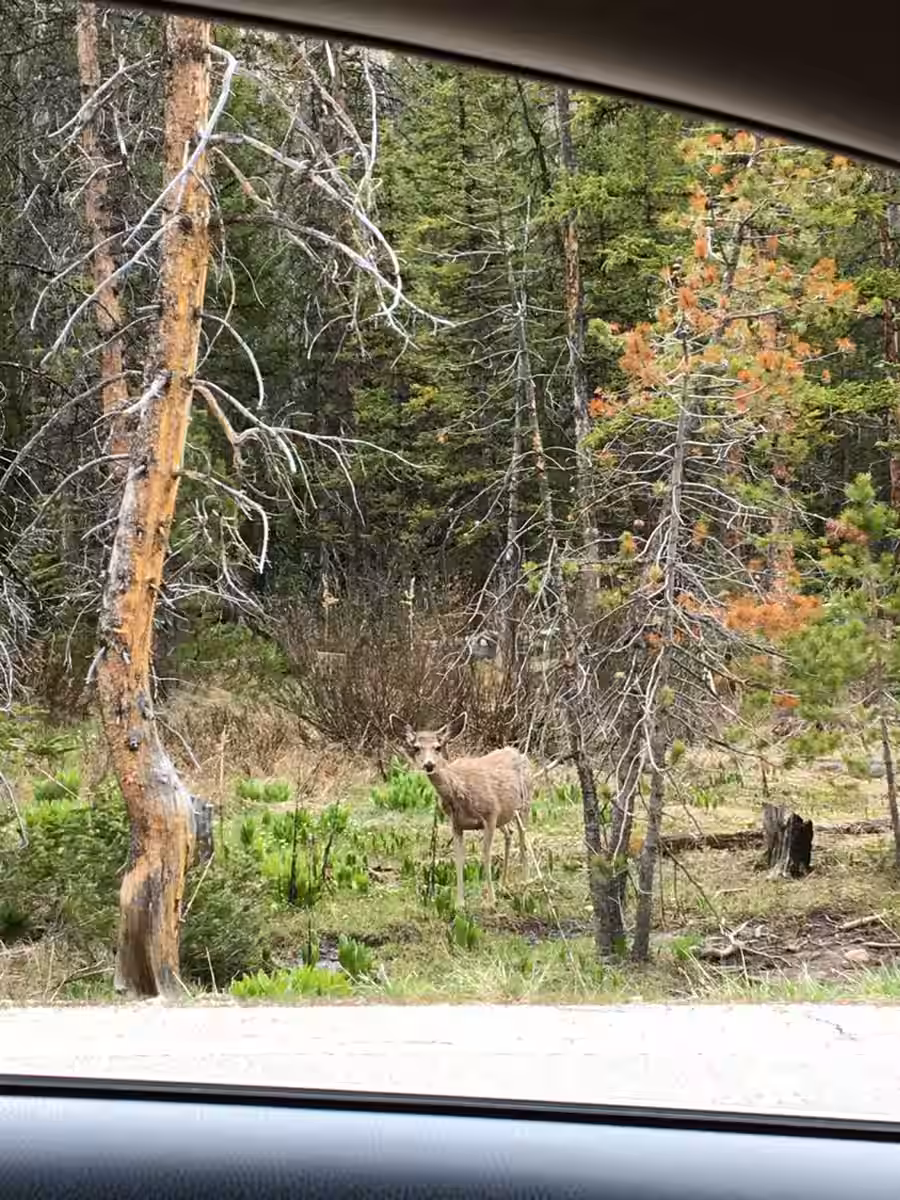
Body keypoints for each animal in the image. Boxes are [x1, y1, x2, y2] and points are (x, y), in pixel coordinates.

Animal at [389, 712, 531, 907]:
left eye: (438, 747)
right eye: (416, 748)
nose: (429, 765)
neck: (460, 789)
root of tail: (517, 751)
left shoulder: (490, 814)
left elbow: (485, 855)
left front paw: (490, 901)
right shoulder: (456, 823)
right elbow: (459, 859)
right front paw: (460, 902)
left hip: (525, 802)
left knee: (523, 836)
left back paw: (525, 884)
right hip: (505, 815)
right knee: (509, 833)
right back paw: (503, 885)